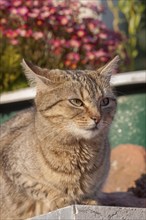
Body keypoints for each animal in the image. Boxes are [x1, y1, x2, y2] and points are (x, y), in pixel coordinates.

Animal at [0, 55, 118, 220]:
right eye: (76, 102)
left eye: (105, 101)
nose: (97, 118)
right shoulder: (14, 169)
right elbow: (41, 188)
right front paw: (61, 198)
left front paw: (87, 200)